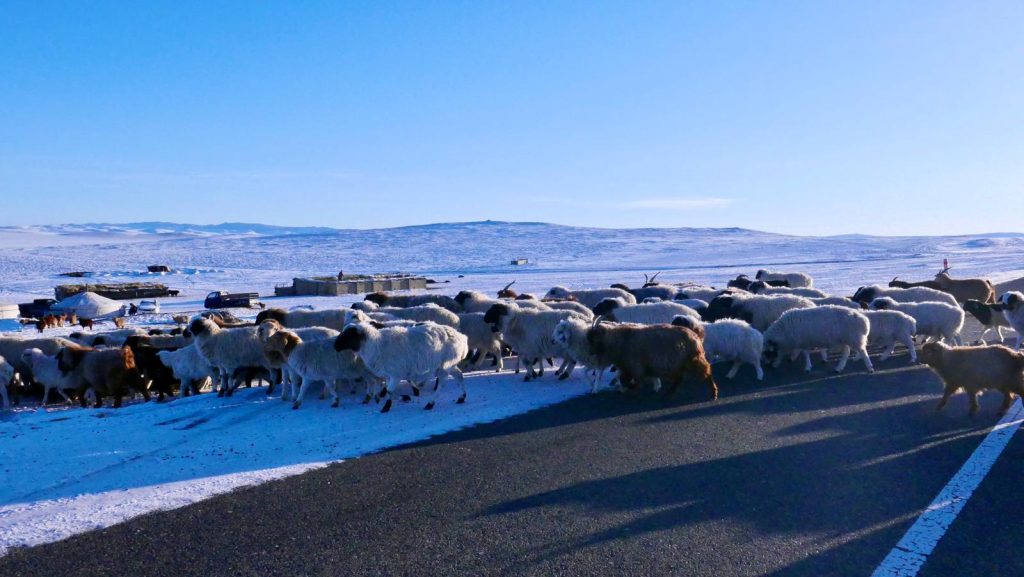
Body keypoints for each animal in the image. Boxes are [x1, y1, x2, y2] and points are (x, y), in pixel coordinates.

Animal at [333, 319, 468, 409]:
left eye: (348, 335)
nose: (335, 346)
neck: (376, 345)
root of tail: (462, 338)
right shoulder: (389, 375)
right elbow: (388, 391)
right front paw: (404, 397)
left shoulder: (395, 374)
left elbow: (389, 391)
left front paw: (387, 406)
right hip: (450, 364)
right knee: (459, 376)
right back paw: (461, 397)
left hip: (445, 365)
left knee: (442, 384)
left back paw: (430, 403)